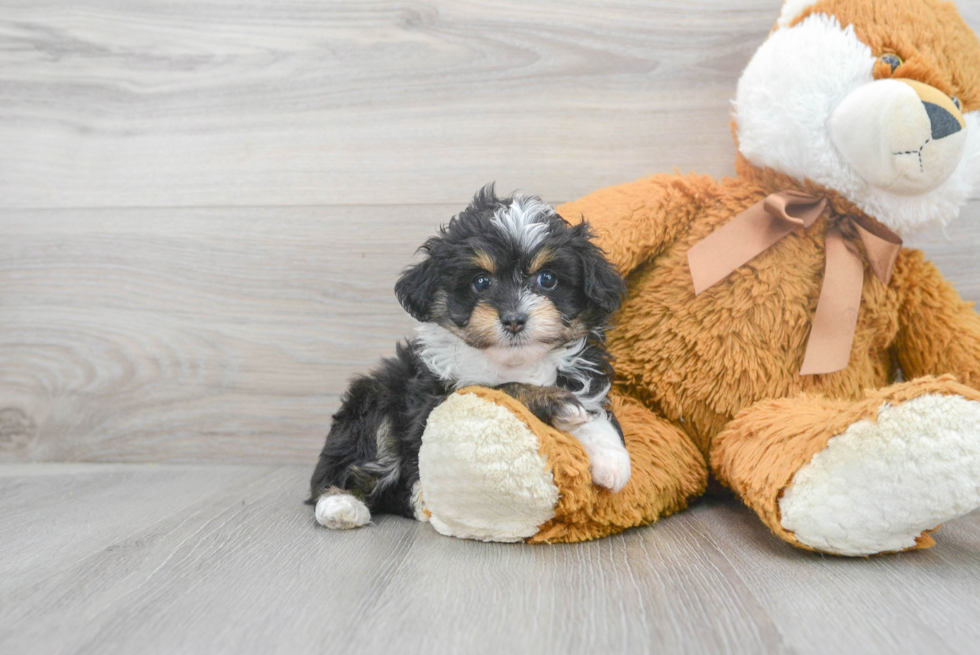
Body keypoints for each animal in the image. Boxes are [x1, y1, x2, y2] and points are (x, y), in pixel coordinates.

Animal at [306, 183, 628, 528]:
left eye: (547, 279)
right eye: (481, 282)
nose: (514, 319)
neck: (513, 361)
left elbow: (590, 405)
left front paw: (611, 455)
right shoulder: (435, 401)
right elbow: (502, 389)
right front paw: (557, 404)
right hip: (373, 402)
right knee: (347, 467)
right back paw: (340, 504)